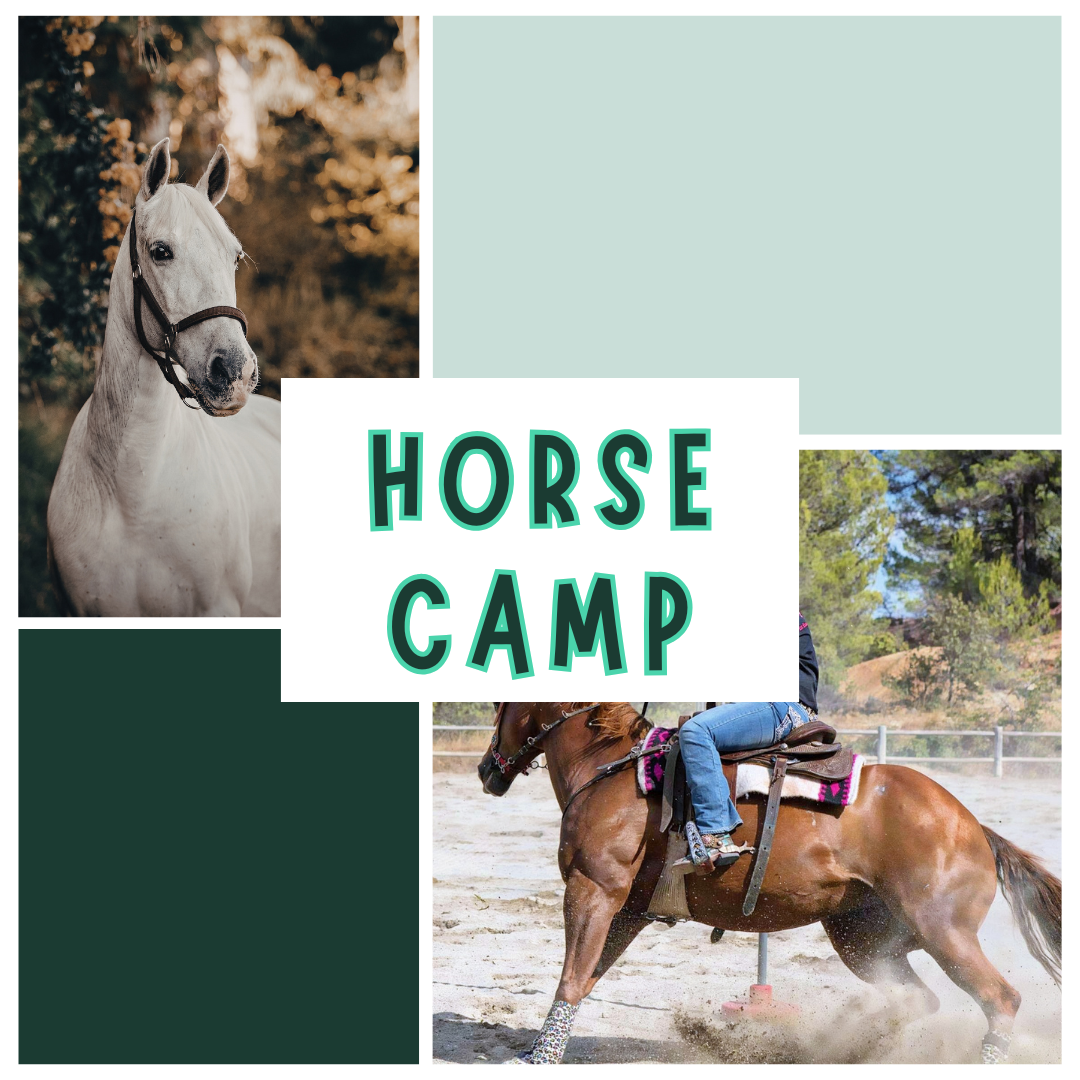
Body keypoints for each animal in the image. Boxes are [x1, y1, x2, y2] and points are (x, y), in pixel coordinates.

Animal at [477, 702, 1061, 1064]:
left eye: (498, 707)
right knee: (920, 1001)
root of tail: (973, 827)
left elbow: (571, 978)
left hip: (944, 933)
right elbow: (585, 978)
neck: (609, 770)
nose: (486, 770)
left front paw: (540, 1058)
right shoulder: (627, 910)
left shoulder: (592, 892)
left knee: (1001, 999)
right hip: (863, 938)